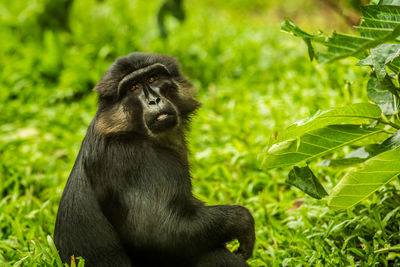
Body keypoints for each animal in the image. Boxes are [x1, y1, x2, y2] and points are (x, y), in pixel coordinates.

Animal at [53, 52, 255, 267]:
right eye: (133, 87)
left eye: (153, 78)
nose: (153, 100)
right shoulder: (133, 158)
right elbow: (158, 231)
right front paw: (242, 221)